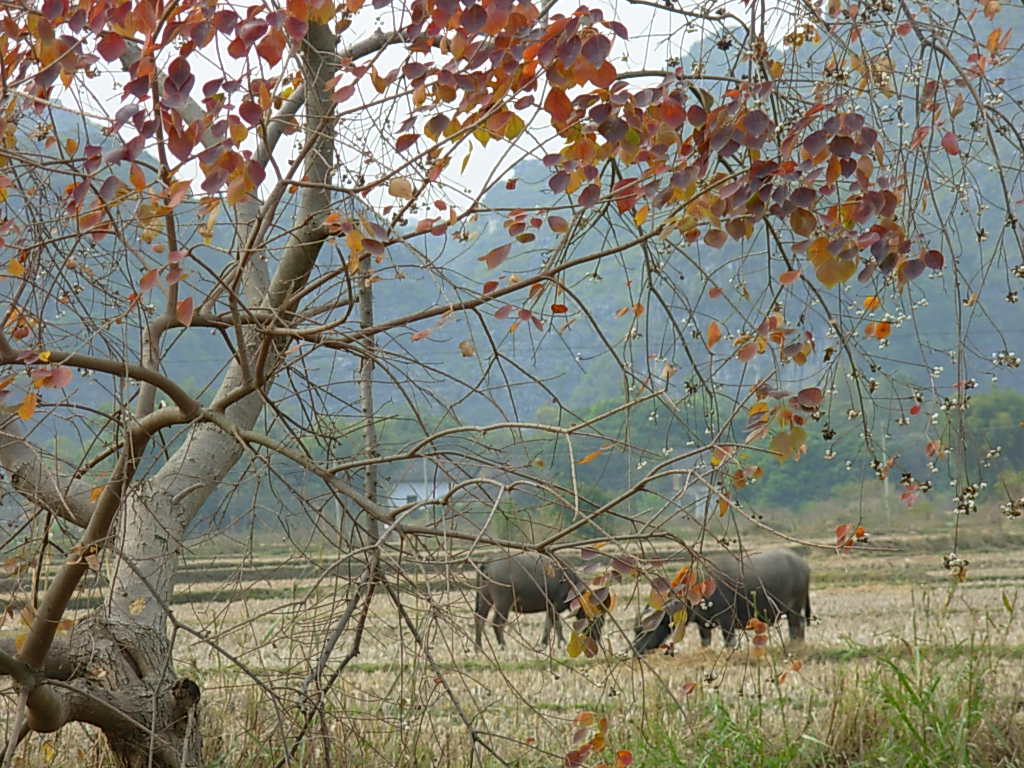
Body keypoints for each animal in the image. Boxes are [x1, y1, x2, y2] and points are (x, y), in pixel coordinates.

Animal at [626, 548, 811, 655]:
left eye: (642, 630)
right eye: (636, 630)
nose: (634, 651)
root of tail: (803, 564)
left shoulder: (727, 619)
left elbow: (729, 640)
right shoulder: (702, 622)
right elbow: (705, 640)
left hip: (794, 608)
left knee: (796, 626)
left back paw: (795, 645)